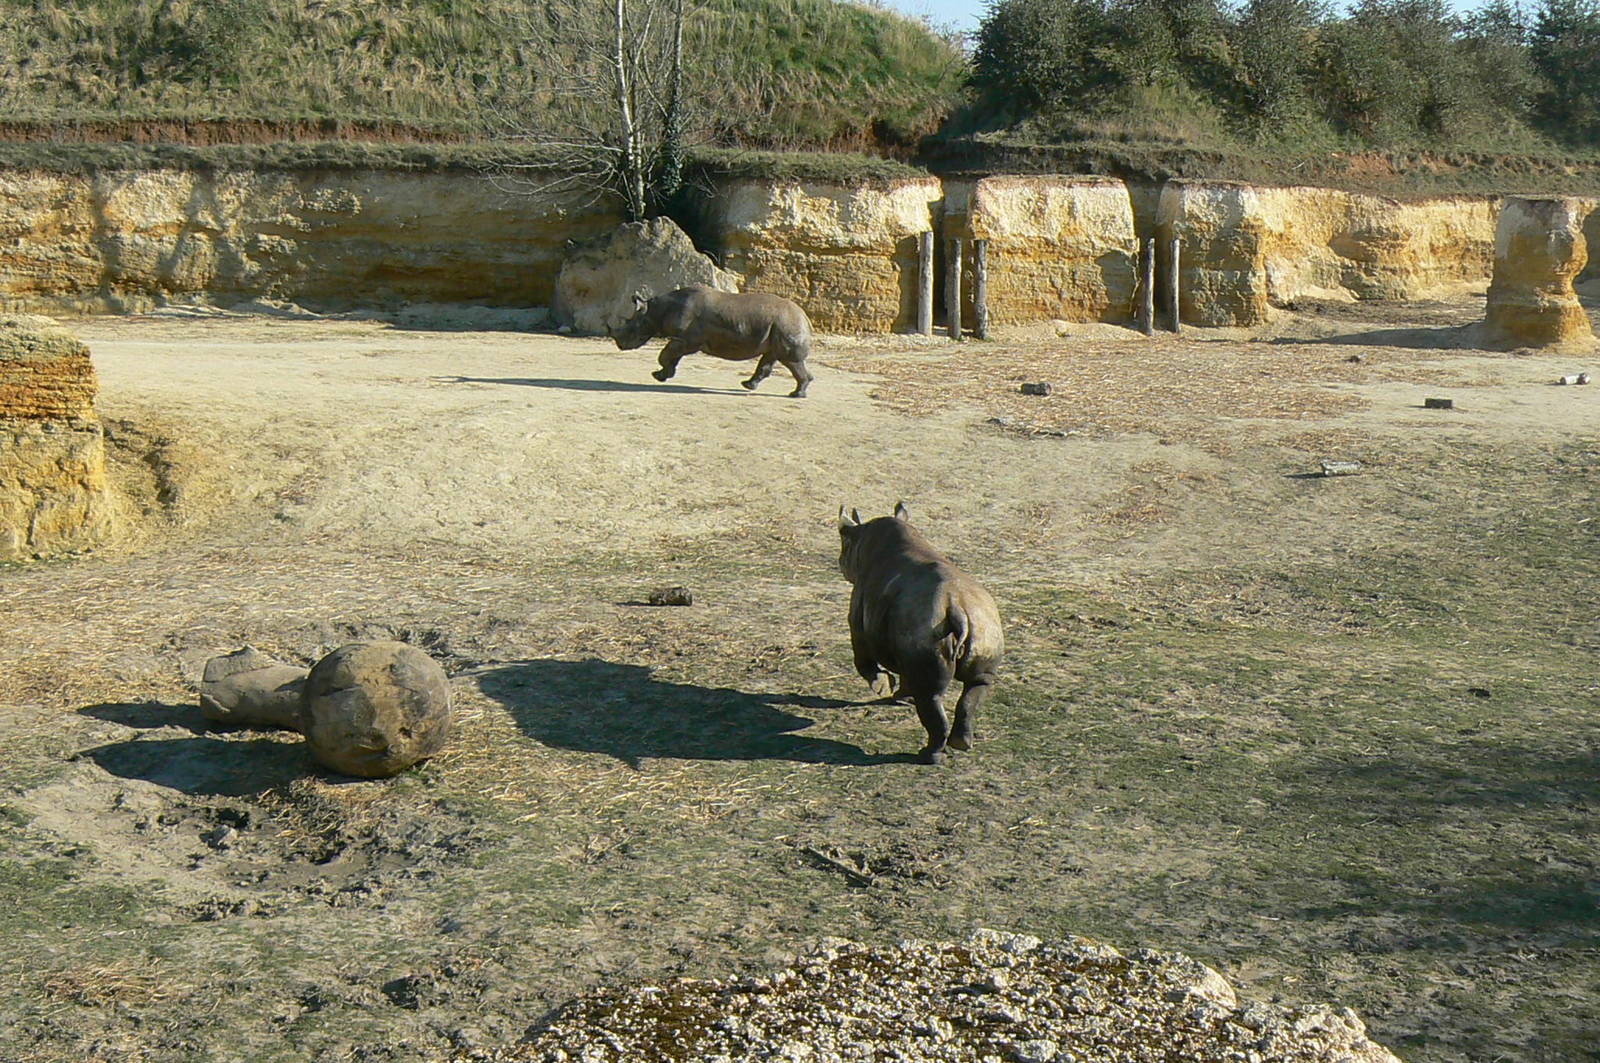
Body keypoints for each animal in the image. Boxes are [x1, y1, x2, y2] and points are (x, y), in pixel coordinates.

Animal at [609, 286, 814, 398]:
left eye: (631, 326)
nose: (620, 345)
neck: (655, 311)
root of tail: (805, 316)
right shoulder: (683, 339)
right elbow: (672, 356)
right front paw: (662, 375)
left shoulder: (687, 339)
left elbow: (665, 354)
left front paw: (658, 375)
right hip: (778, 326)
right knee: (772, 355)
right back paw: (748, 385)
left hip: (786, 324)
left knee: (789, 359)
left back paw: (795, 395)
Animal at [837, 502, 1004, 764]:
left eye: (844, 544)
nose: (839, 562)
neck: (864, 537)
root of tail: (958, 608)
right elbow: (906, 673)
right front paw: (901, 697)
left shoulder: (858, 621)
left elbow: (863, 659)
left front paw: (882, 687)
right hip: (984, 624)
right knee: (978, 683)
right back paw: (962, 744)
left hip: (928, 625)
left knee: (930, 694)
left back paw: (929, 755)